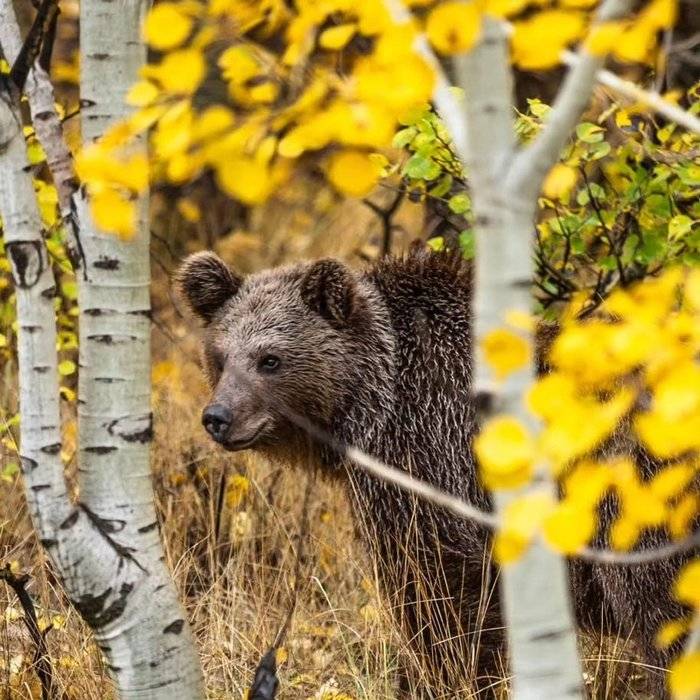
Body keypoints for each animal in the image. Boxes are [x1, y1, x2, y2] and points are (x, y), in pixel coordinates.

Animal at [175, 246, 688, 696]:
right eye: (220, 357)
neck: (375, 404)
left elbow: (439, 605)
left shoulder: (432, 465)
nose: (218, 417)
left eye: (270, 359)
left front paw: (442, 679)